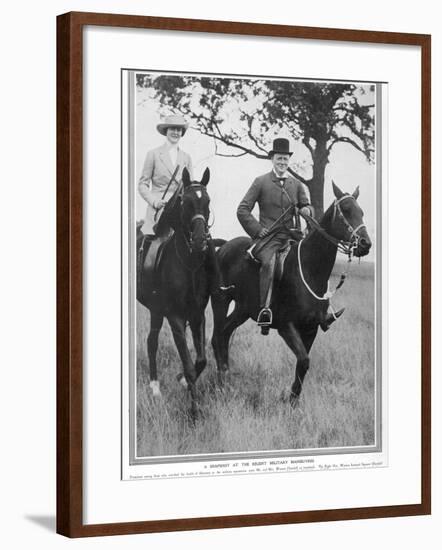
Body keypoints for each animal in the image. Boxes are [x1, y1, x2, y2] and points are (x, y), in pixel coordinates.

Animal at [138, 168, 212, 418]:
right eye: (186, 202)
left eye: (207, 201)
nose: (199, 241)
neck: (188, 265)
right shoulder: (175, 318)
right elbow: (189, 366)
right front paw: (194, 412)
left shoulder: (198, 316)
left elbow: (201, 360)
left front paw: (181, 381)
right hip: (158, 311)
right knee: (151, 343)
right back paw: (154, 388)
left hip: (155, 310)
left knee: (151, 341)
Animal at [212, 184, 372, 410]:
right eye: (347, 210)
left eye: (361, 212)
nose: (366, 244)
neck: (310, 269)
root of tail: (224, 247)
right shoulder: (287, 326)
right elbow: (304, 361)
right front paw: (290, 401)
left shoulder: (311, 328)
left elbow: (301, 365)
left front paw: (293, 402)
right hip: (220, 300)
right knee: (217, 336)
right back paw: (221, 382)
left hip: (242, 309)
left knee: (225, 333)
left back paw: (225, 377)